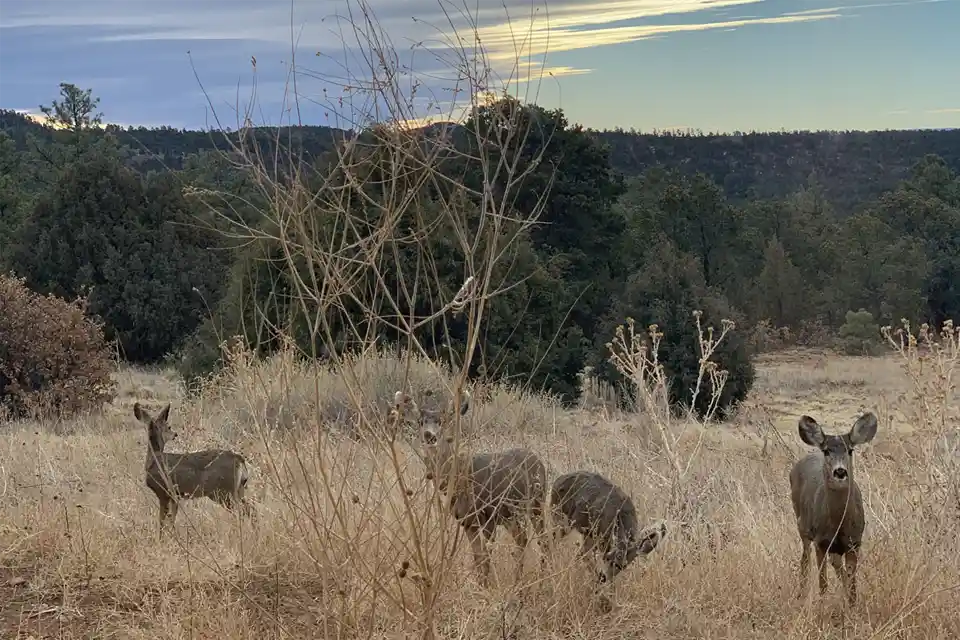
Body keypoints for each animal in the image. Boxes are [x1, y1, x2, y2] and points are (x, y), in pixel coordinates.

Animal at [134, 402, 253, 537]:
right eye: (169, 427)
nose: (175, 434)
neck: (154, 458)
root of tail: (239, 459)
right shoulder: (175, 496)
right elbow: (171, 519)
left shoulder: (164, 492)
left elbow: (162, 521)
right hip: (238, 489)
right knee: (250, 509)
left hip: (224, 491)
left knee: (241, 511)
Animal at [397, 388, 547, 587]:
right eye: (421, 422)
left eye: (442, 421)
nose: (430, 435)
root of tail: (538, 460)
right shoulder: (467, 522)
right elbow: (477, 557)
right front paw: (481, 584)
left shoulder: (488, 515)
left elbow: (485, 556)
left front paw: (485, 587)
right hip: (511, 516)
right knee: (522, 539)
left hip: (537, 504)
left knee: (543, 539)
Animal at [790, 412, 878, 605]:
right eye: (826, 450)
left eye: (850, 450)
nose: (840, 471)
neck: (839, 524)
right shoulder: (820, 542)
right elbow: (823, 584)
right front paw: (823, 606)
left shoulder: (854, 542)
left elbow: (852, 584)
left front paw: (852, 606)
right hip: (802, 525)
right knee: (805, 559)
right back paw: (800, 594)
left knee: (836, 564)